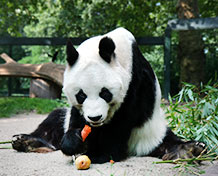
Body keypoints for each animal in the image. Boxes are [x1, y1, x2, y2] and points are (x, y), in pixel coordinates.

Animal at [12, 27, 204, 164]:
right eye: (81, 95)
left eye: (105, 93)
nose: (95, 118)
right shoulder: (78, 110)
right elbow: (76, 119)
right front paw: (75, 142)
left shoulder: (135, 81)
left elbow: (121, 121)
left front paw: (101, 154)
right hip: (59, 120)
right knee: (53, 121)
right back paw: (25, 141)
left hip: (150, 131)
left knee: (166, 141)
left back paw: (189, 149)